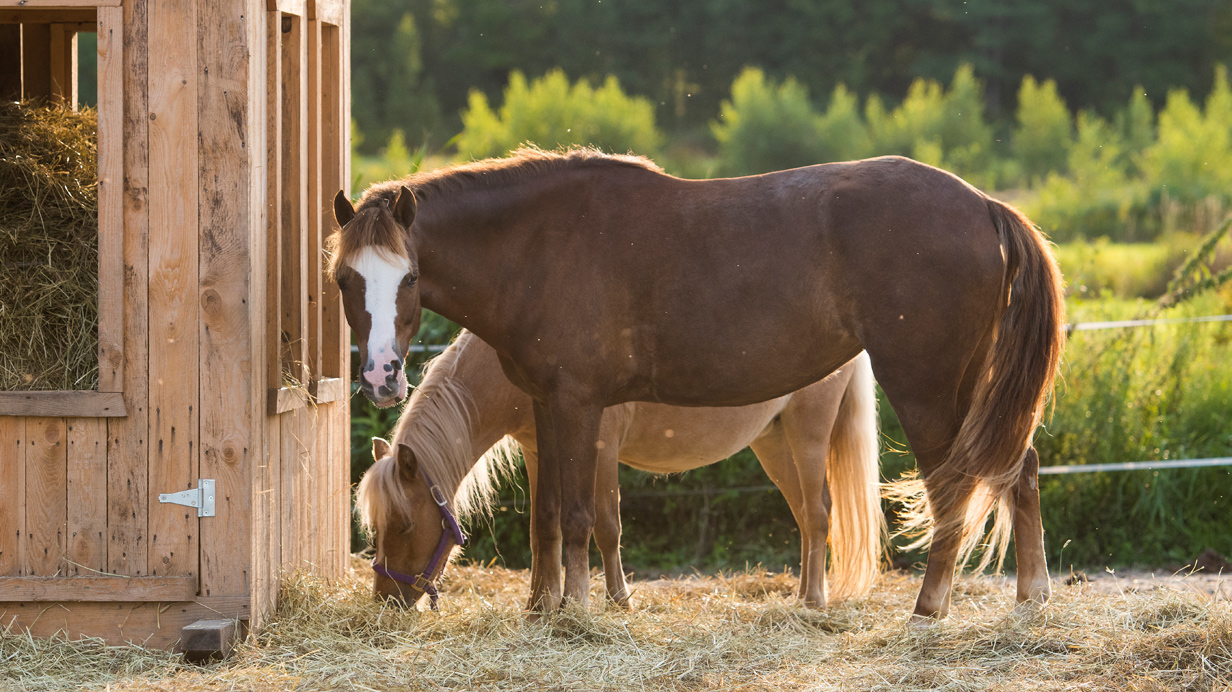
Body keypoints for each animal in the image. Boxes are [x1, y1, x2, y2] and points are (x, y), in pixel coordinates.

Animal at [354, 330, 884, 610]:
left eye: (403, 524)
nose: (385, 598)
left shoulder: (601, 449)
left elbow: (605, 526)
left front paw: (615, 598)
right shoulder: (539, 452)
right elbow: (544, 526)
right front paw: (541, 602)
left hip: (807, 435)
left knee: (818, 513)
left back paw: (813, 602)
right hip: (773, 443)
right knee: (805, 518)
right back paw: (801, 597)